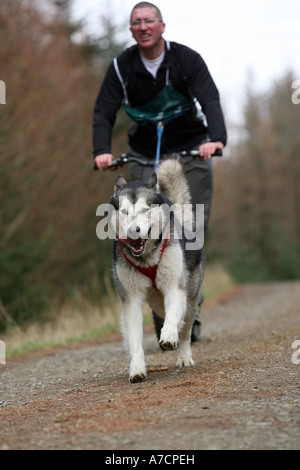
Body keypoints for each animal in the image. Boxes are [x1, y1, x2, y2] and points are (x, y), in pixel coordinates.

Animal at [109, 158, 203, 382]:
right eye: (125, 212)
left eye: (144, 210)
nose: (133, 231)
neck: (146, 259)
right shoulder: (131, 300)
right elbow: (135, 339)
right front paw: (136, 368)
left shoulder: (175, 289)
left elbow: (173, 316)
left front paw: (168, 335)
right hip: (156, 302)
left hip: (190, 300)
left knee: (185, 328)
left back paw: (184, 354)